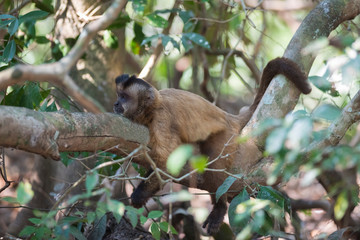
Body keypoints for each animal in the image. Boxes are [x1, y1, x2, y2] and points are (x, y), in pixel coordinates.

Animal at [114, 57, 310, 234]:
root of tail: (228, 116)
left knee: (215, 168)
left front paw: (139, 194)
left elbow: (165, 160)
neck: (153, 107)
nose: (116, 103)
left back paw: (220, 207)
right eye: (119, 95)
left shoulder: (162, 120)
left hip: (226, 137)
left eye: (124, 97)